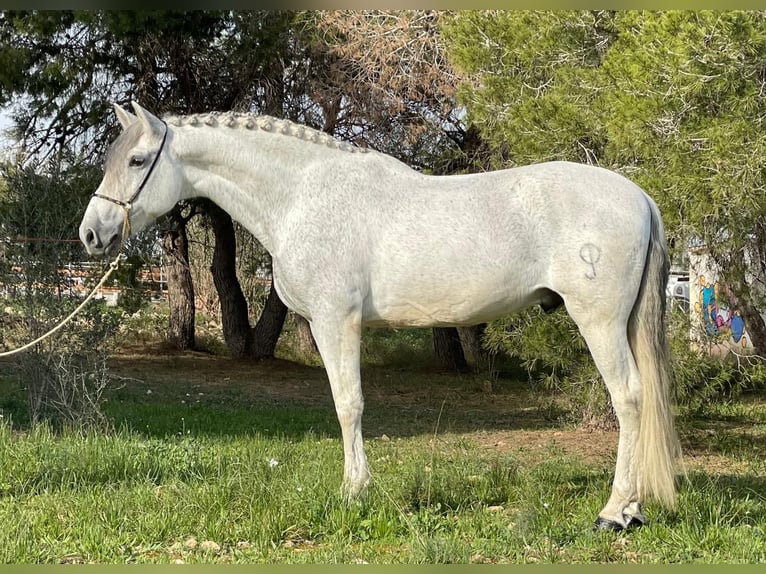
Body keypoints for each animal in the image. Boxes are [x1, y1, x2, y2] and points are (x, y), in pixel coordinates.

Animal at [79, 102, 684, 532]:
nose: (92, 233)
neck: (302, 194)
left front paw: (354, 493)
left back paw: (615, 513)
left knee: (629, 398)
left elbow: (348, 406)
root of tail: (640, 198)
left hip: (599, 322)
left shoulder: (334, 322)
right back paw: (633, 509)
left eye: (137, 160)